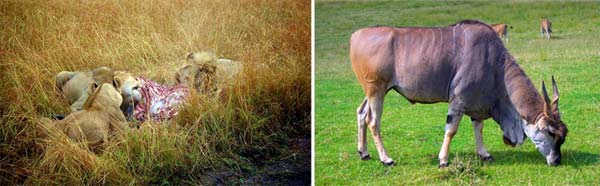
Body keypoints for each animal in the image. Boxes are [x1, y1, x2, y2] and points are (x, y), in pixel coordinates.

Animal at [350, 20, 568, 167]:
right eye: (550, 132)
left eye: (564, 135)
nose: (557, 160)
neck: (494, 61)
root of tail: (356, 35)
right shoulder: (458, 101)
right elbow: (451, 130)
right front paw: (443, 160)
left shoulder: (477, 102)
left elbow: (478, 127)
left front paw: (484, 154)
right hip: (376, 91)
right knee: (372, 121)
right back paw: (386, 159)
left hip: (374, 91)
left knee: (361, 113)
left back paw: (364, 153)